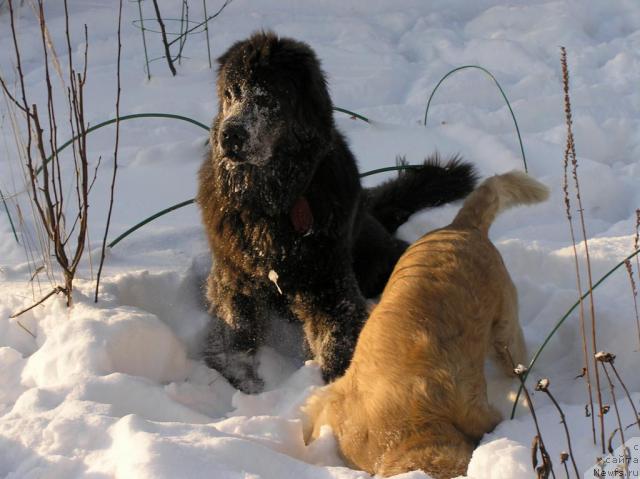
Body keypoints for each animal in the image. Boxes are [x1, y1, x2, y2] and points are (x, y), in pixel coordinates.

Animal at [198, 32, 478, 394]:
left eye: (267, 98)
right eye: (231, 94)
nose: (230, 134)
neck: (274, 201)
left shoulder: (327, 280)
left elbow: (338, 336)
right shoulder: (234, 276)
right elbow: (233, 333)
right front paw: (242, 380)